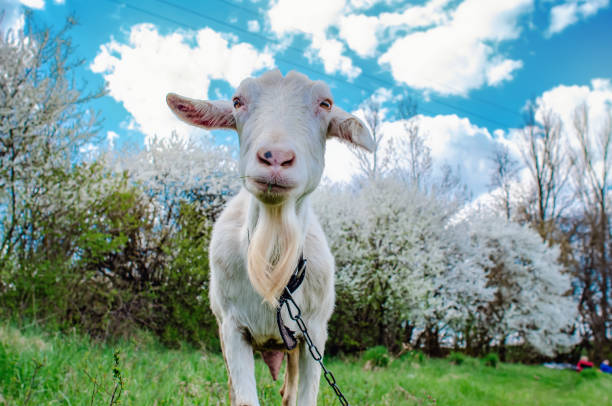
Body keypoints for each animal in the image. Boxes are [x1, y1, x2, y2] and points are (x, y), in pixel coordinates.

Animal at [167, 70, 376, 406]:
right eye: (237, 102)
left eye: (325, 103)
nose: (275, 157)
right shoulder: (233, 329)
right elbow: (243, 398)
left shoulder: (314, 333)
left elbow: (304, 399)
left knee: (288, 390)